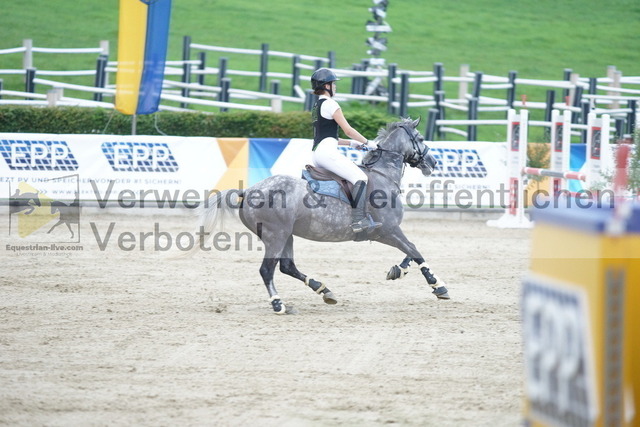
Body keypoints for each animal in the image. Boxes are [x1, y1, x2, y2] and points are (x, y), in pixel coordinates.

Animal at [198, 117, 448, 314]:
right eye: (421, 138)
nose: (433, 162)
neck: (382, 176)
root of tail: (248, 190)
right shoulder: (386, 230)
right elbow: (415, 250)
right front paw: (438, 286)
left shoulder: (390, 231)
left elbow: (410, 251)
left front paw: (398, 270)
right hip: (275, 235)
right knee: (267, 270)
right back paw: (279, 304)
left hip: (286, 235)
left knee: (287, 266)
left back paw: (324, 290)